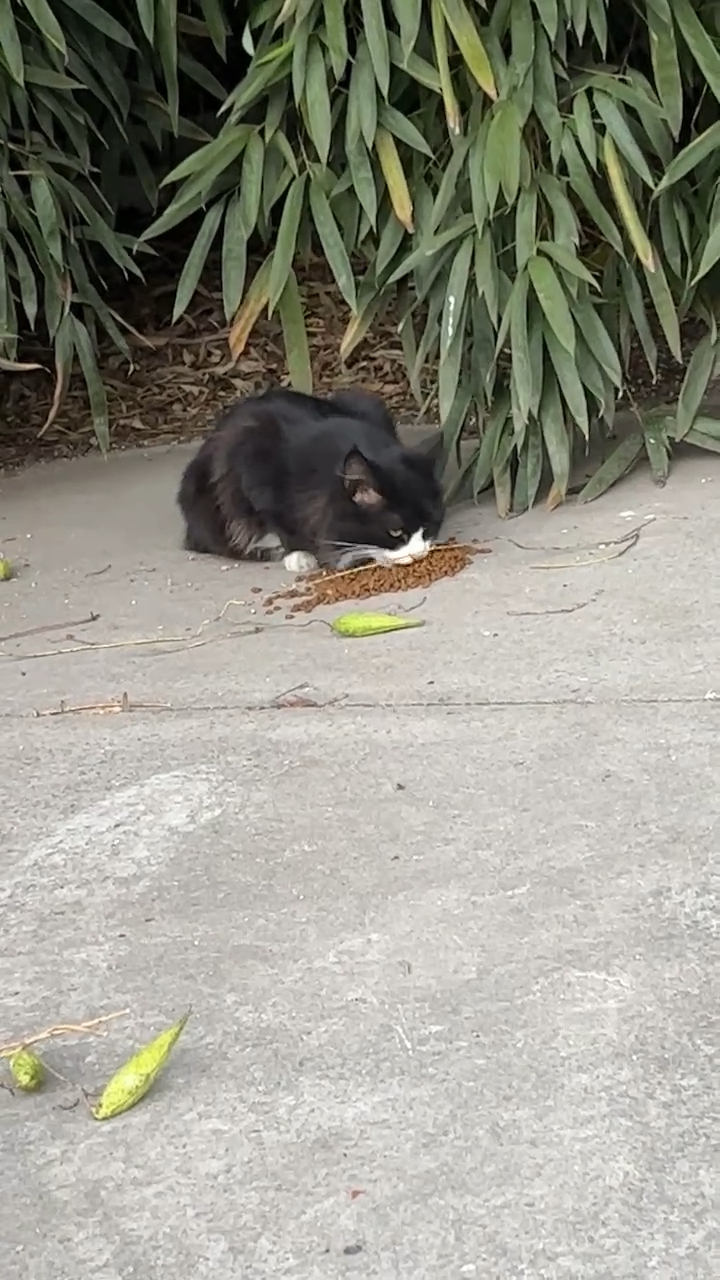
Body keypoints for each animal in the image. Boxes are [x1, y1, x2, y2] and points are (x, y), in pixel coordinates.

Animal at [176, 386, 443, 573]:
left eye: (430, 524)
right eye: (395, 531)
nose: (419, 554)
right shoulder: (252, 465)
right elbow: (277, 520)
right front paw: (300, 556)